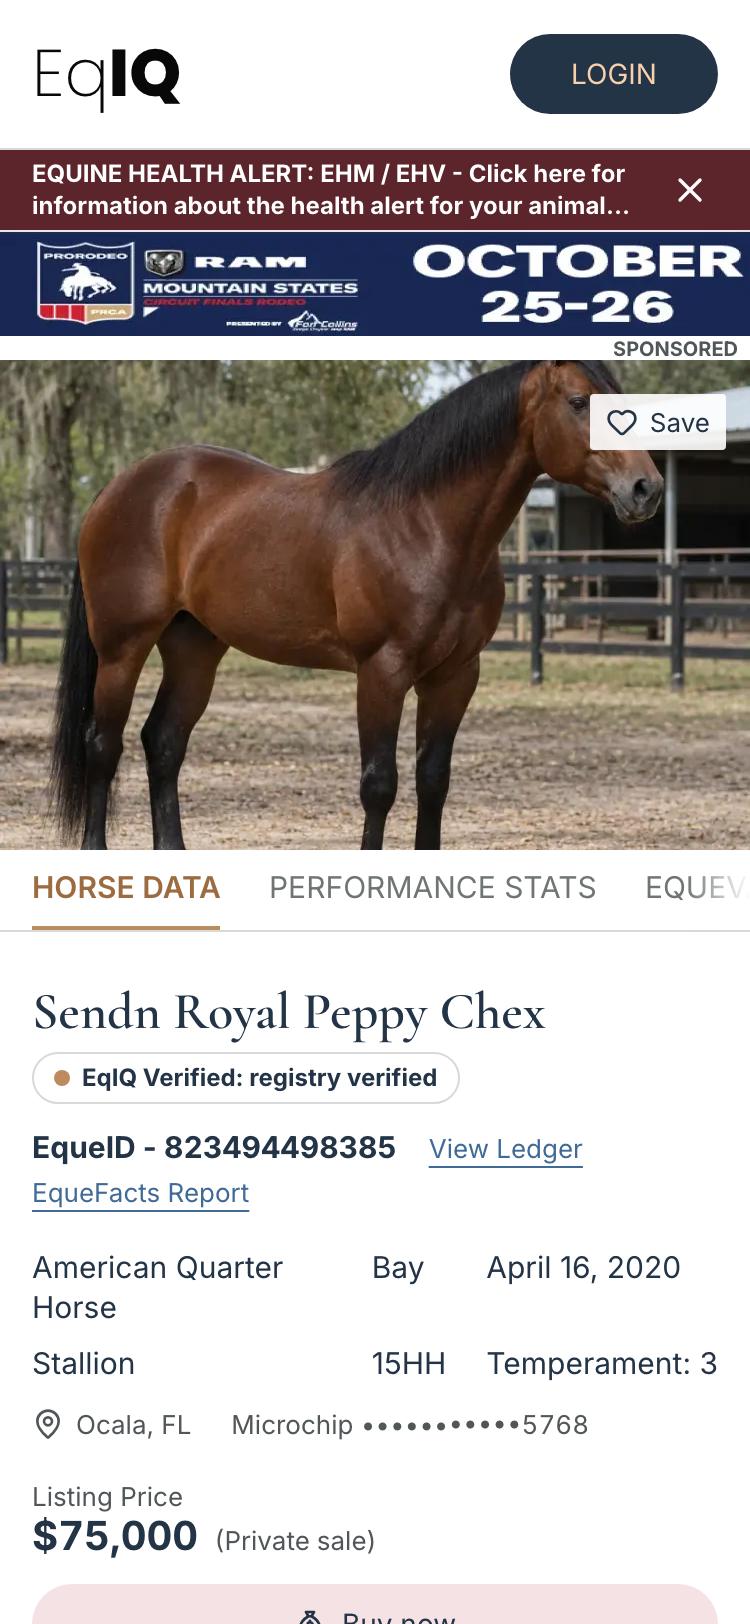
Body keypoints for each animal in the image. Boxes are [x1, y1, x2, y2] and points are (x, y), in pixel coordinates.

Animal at [51, 359, 663, 852]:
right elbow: (379, 785)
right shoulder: (382, 671)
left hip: (195, 646)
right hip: (122, 648)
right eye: (579, 402)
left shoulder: (455, 675)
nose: (646, 488)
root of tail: (117, 488)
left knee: (163, 742)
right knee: (102, 745)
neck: (427, 526)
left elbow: (433, 781)